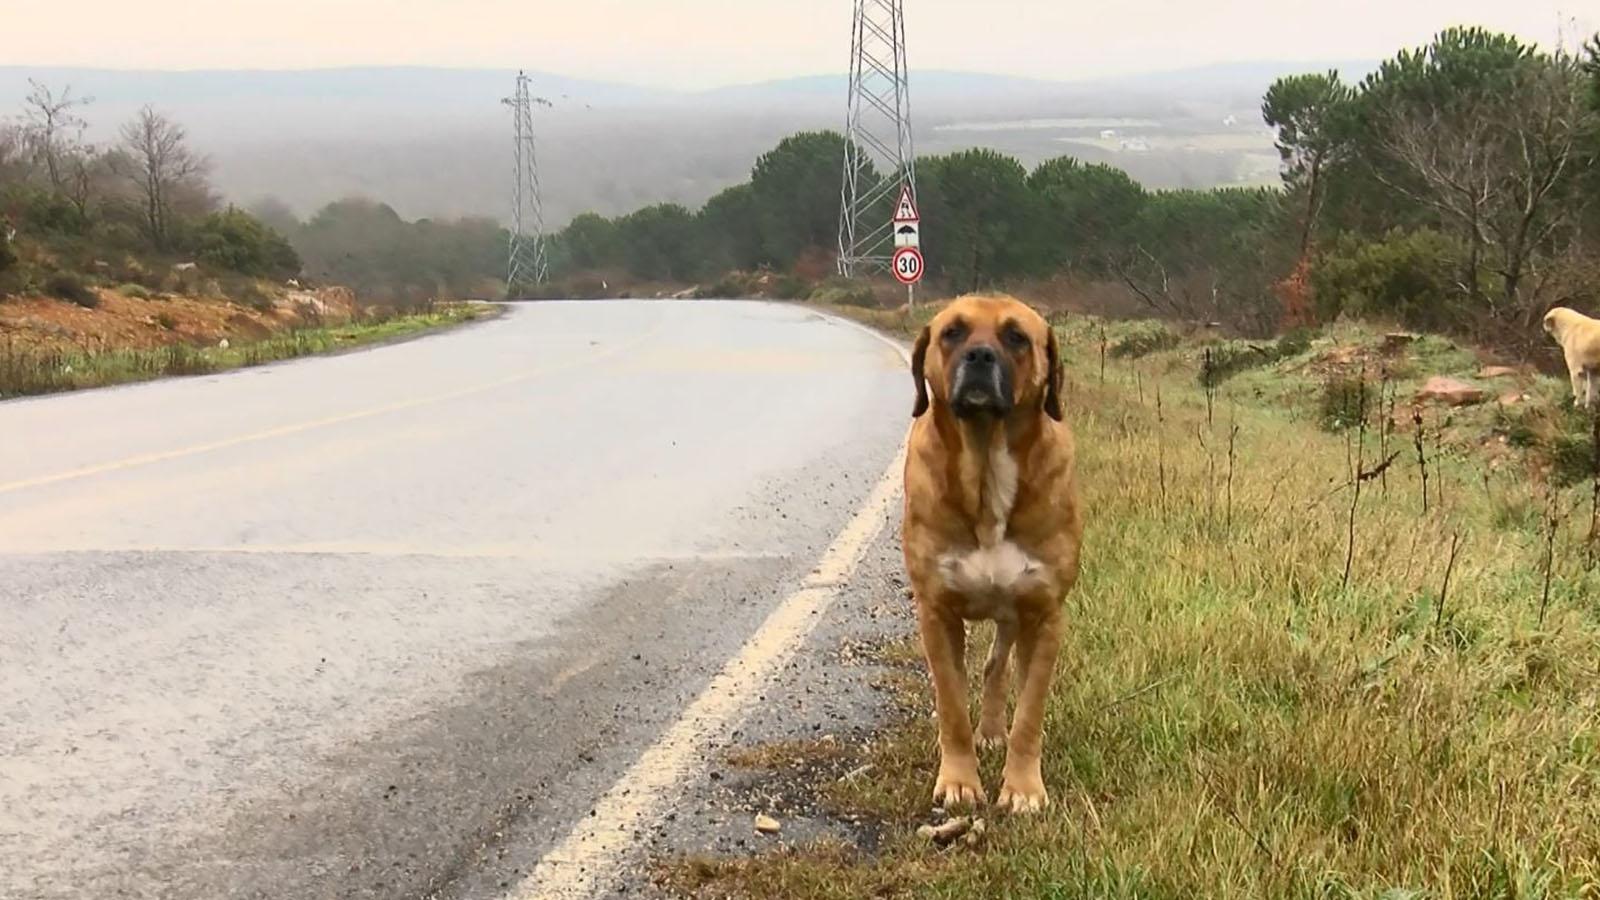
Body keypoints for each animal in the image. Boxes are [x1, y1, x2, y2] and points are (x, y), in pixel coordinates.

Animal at [902, 291, 1088, 810]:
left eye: (1016, 337)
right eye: (953, 332)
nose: (980, 357)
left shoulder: (1044, 615)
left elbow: (1029, 713)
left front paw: (1022, 788)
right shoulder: (937, 612)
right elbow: (950, 706)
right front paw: (959, 781)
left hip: (1014, 616)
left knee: (996, 668)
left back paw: (992, 730)